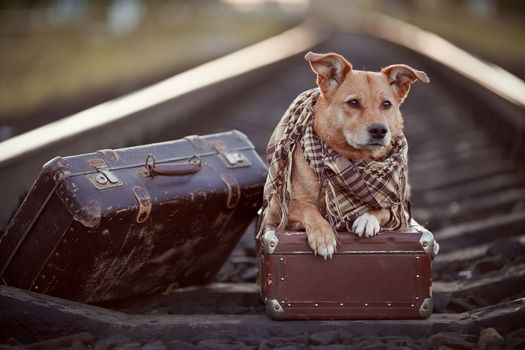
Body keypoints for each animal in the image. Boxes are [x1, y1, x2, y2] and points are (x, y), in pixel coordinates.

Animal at [262, 50, 430, 258]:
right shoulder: (276, 210)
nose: (379, 130)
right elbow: (307, 208)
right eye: (353, 102)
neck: (356, 161)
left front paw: (368, 218)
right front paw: (323, 235)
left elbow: (384, 209)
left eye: (386, 104)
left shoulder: (398, 211)